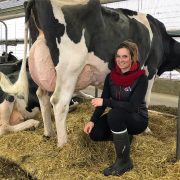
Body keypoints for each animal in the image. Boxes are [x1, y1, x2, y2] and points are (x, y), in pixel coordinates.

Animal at [23, 0, 180, 148]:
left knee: (42, 95)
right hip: (70, 66)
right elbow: (145, 101)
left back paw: (49, 133)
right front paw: (146, 129)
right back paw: (63, 145)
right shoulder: (150, 70)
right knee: (59, 101)